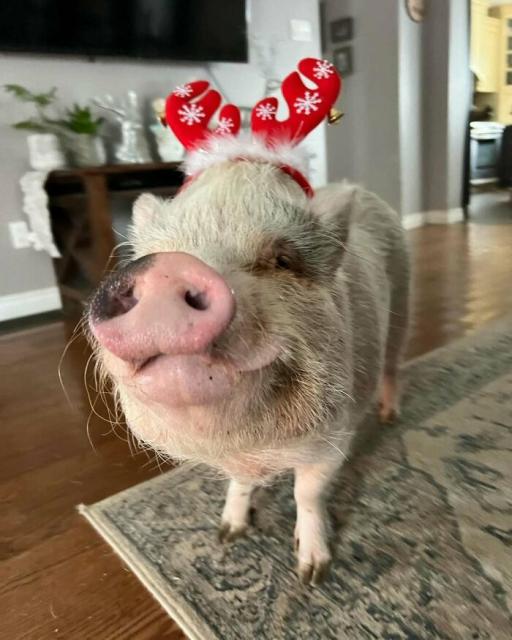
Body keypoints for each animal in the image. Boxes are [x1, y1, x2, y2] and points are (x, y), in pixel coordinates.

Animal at [87, 153, 409, 586]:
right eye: (160, 251)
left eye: (283, 260)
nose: (169, 267)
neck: (254, 447)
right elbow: (239, 483)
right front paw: (228, 534)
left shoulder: (335, 437)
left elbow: (308, 493)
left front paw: (312, 574)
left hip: (403, 299)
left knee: (393, 363)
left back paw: (390, 416)